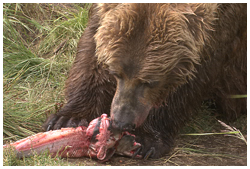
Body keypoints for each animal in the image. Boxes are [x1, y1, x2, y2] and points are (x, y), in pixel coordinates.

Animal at [42, 3, 246, 159]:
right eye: (116, 72)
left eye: (149, 82)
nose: (122, 122)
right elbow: (91, 51)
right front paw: (68, 119)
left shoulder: (220, 30)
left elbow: (189, 83)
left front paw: (145, 139)